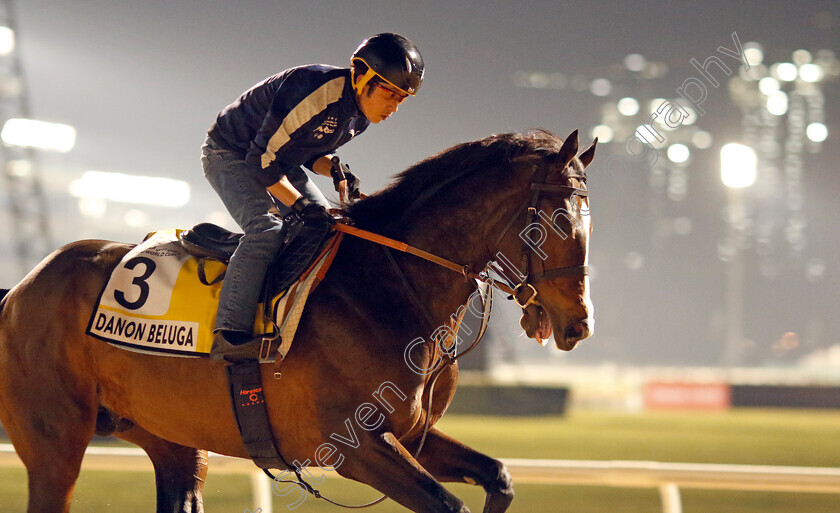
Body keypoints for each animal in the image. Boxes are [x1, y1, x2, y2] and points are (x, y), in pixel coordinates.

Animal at [0, 129, 596, 512]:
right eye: (558, 218)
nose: (578, 325)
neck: (389, 286)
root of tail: (21, 288)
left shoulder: (413, 433)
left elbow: (500, 478)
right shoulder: (354, 446)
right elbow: (450, 505)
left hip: (169, 437)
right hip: (55, 440)